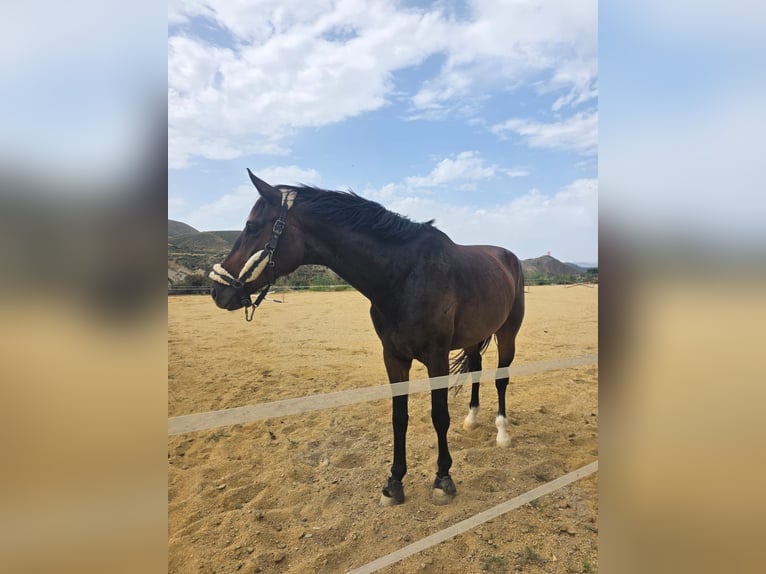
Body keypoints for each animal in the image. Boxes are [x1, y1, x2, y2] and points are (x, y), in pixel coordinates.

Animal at [210, 170, 525, 506]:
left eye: (252, 227)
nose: (217, 290)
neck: (405, 276)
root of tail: (507, 257)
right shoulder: (394, 357)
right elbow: (399, 416)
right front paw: (394, 482)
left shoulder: (436, 357)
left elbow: (439, 415)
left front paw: (443, 479)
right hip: (473, 338)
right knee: (476, 370)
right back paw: (472, 418)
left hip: (507, 334)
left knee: (501, 379)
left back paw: (502, 433)